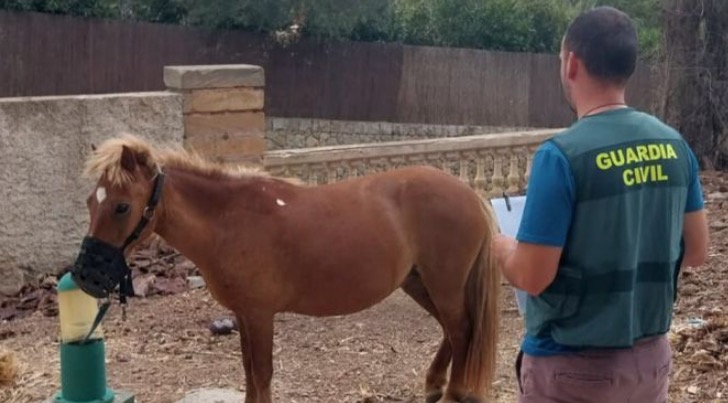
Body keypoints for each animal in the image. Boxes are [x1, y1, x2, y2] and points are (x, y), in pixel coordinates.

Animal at [73, 134, 502, 403]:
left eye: (122, 206)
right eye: (91, 202)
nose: (84, 277)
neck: (229, 219)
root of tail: (470, 194)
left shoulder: (260, 315)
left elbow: (262, 376)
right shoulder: (244, 315)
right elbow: (250, 375)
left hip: (444, 284)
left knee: (461, 330)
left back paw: (451, 394)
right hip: (419, 283)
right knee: (452, 330)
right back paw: (433, 386)